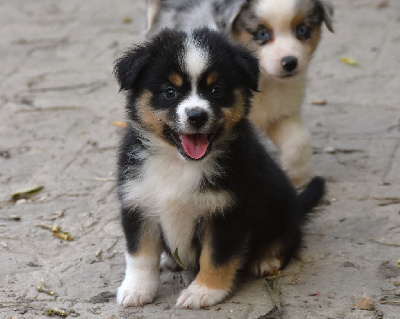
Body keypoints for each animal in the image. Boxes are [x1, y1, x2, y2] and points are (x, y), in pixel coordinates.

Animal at [113, 28, 324, 310]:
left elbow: (216, 257)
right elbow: (140, 254)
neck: (179, 164)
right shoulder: (138, 202)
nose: (196, 116)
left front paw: (203, 292)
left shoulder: (228, 212)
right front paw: (136, 289)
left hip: (282, 208)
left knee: (288, 237)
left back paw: (266, 259)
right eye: (169, 92)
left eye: (216, 90)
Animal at [147, 0, 334, 188]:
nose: (290, 63)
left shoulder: (281, 111)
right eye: (262, 33)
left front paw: (296, 178)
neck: (264, 82)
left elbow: (298, 141)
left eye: (302, 30)